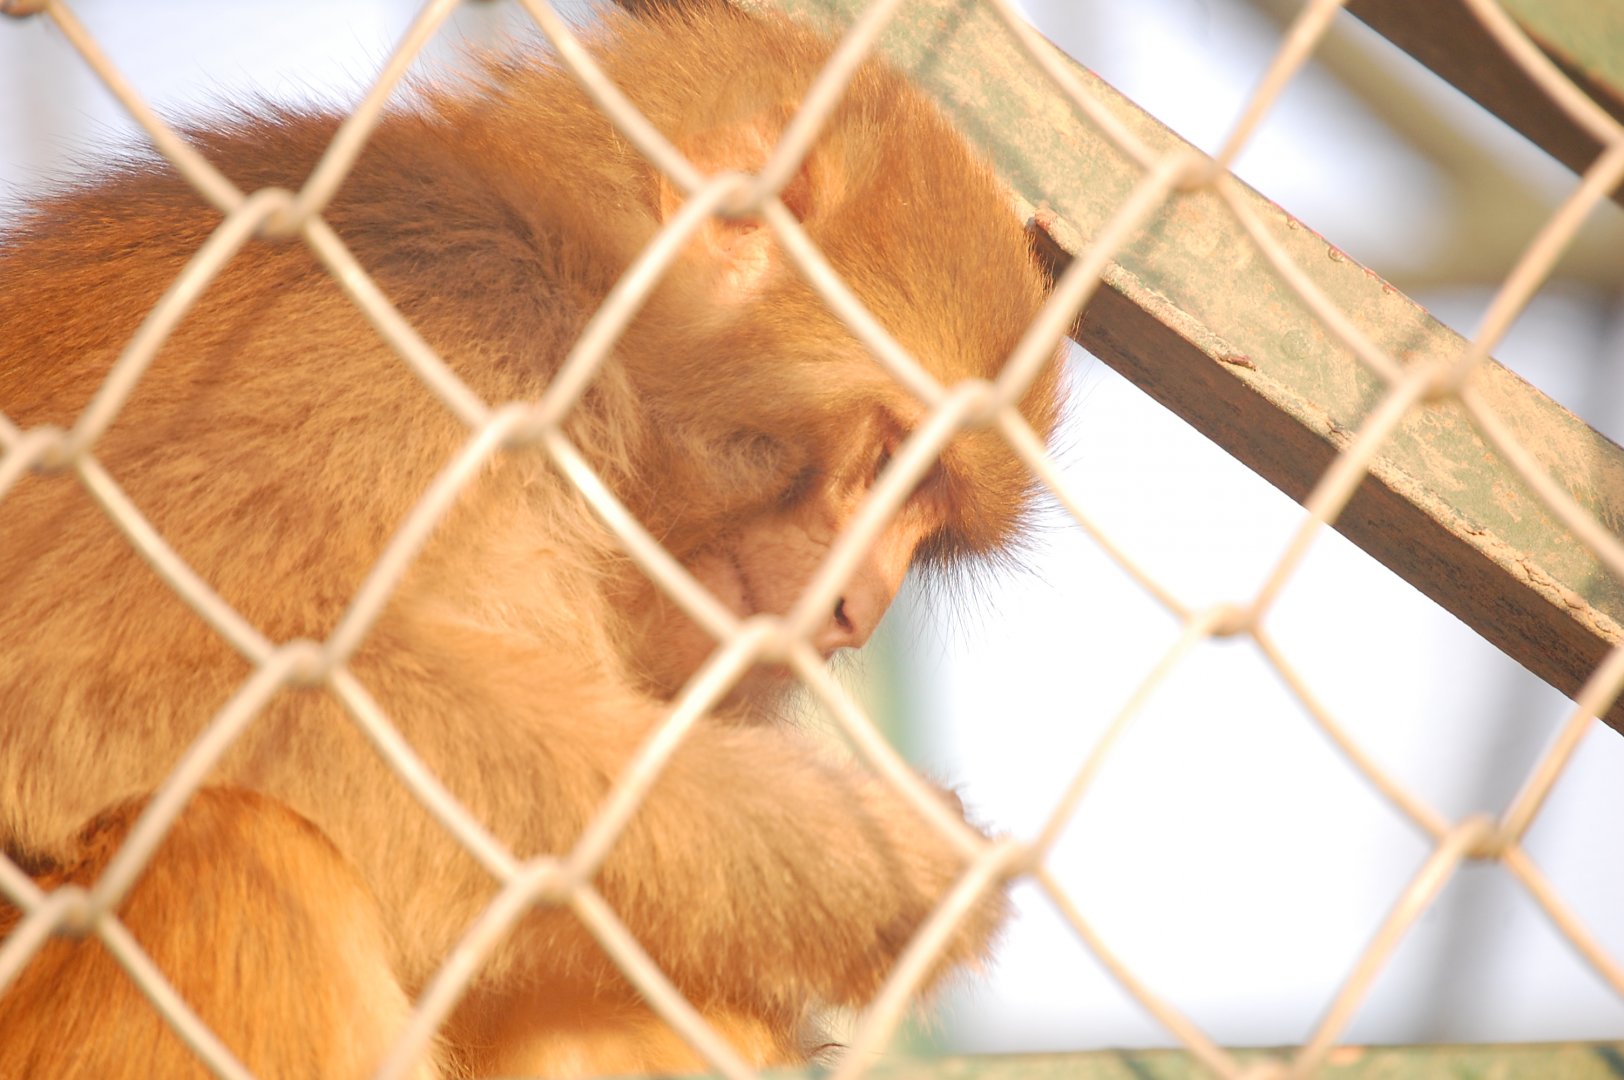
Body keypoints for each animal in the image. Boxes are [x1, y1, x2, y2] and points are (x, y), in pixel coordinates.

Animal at [0, 4, 1063, 1077]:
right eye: (891, 466)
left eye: (927, 534)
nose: (857, 613)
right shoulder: (418, 335)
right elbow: (79, 680)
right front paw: (862, 863)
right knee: (230, 854)